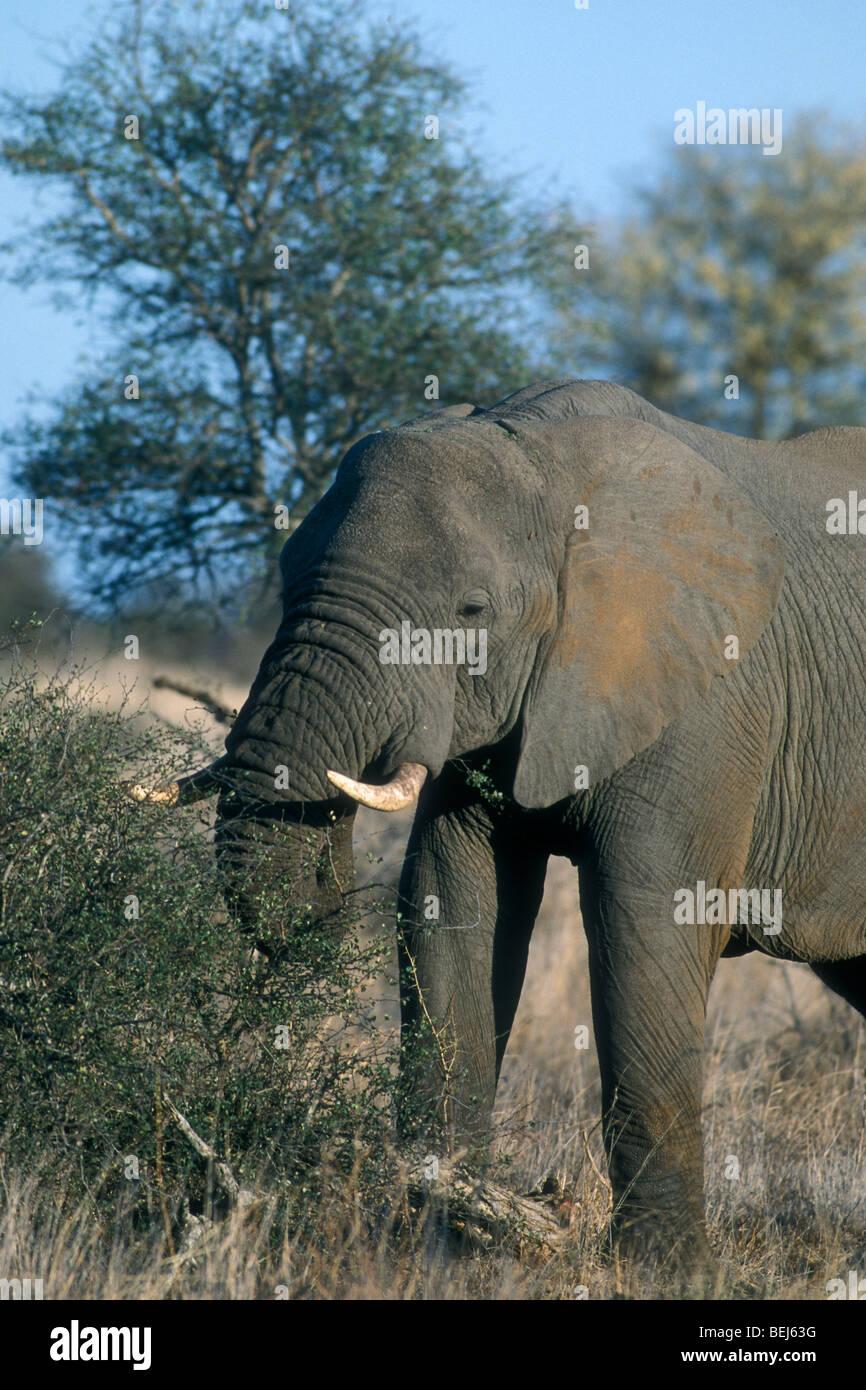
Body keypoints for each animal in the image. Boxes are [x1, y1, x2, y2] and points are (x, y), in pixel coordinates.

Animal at [145, 380, 866, 1278]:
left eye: (472, 610)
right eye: (284, 585)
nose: (321, 884)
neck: (542, 462)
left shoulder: (711, 700)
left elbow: (645, 923)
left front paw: (663, 1272)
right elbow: (453, 912)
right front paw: (441, 1244)